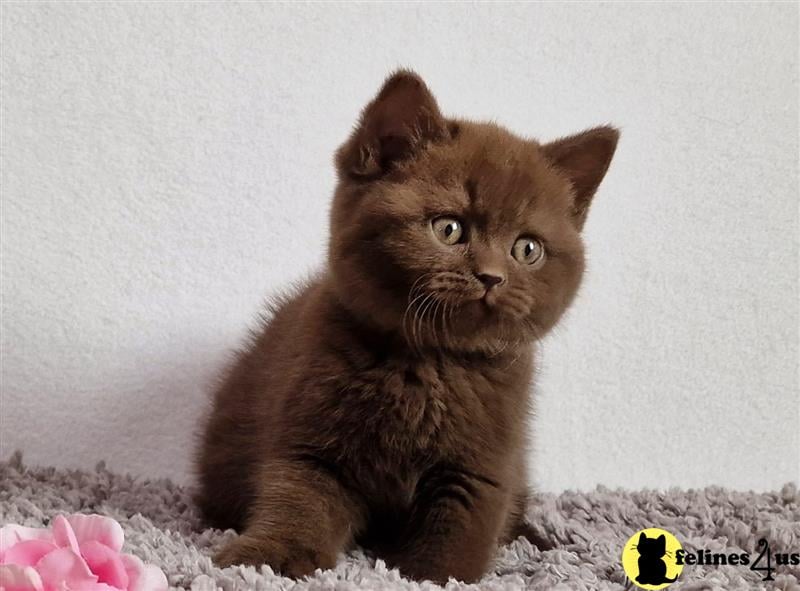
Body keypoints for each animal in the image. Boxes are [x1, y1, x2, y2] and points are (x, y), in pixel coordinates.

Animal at [195, 70, 620, 584]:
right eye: (449, 228)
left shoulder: (482, 461)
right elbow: (300, 495)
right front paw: (268, 556)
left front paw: (432, 575)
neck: (429, 364)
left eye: (527, 249)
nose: (492, 277)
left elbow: (460, 526)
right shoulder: (311, 432)